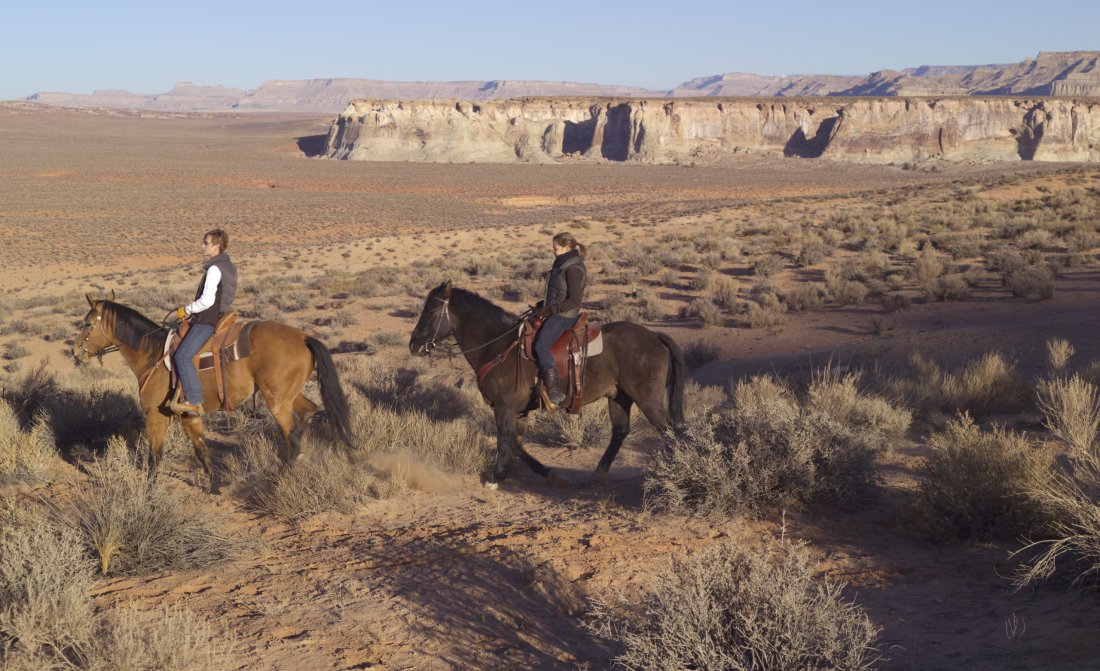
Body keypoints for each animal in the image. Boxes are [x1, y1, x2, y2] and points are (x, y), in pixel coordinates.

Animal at [74, 292, 347, 490]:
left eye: (87, 323)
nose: (76, 352)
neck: (151, 354)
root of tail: (303, 337)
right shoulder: (189, 416)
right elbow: (201, 450)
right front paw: (215, 485)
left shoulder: (155, 416)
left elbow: (155, 456)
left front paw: (149, 491)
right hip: (288, 396)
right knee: (310, 411)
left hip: (278, 403)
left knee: (291, 435)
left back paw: (281, 476)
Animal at [411, 279, 682, 484]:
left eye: (431, 311)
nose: (414, 345)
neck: (497, 346)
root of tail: (654, 336)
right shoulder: (518, 410)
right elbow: (515, 443)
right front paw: (545, 471)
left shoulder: (503, 407)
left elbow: (504, 440)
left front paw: (496, 477)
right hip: (619, 397)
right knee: (621, 432)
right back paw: (598, 474)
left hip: (647, 399)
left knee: (671, 431)